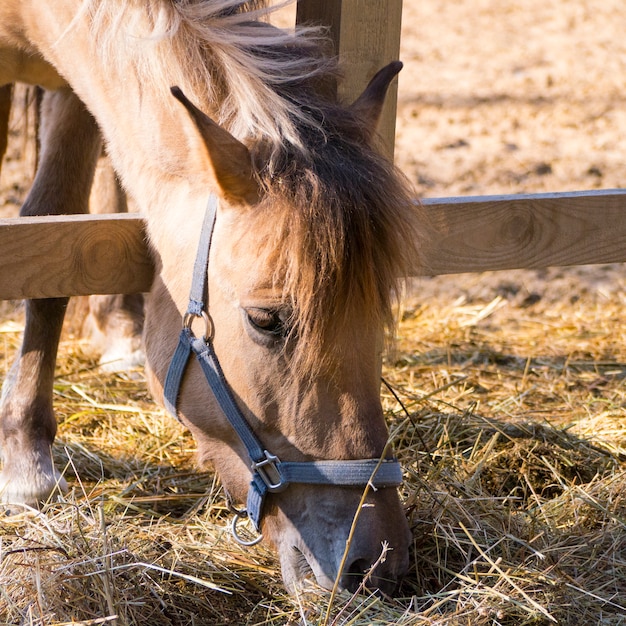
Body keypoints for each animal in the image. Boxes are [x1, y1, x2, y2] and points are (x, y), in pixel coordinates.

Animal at [0, 1, 422, 596]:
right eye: (266, 320)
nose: (377, 561)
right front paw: (24, 459)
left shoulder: (73, 77)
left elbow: (62, 232)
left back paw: (119, 324)